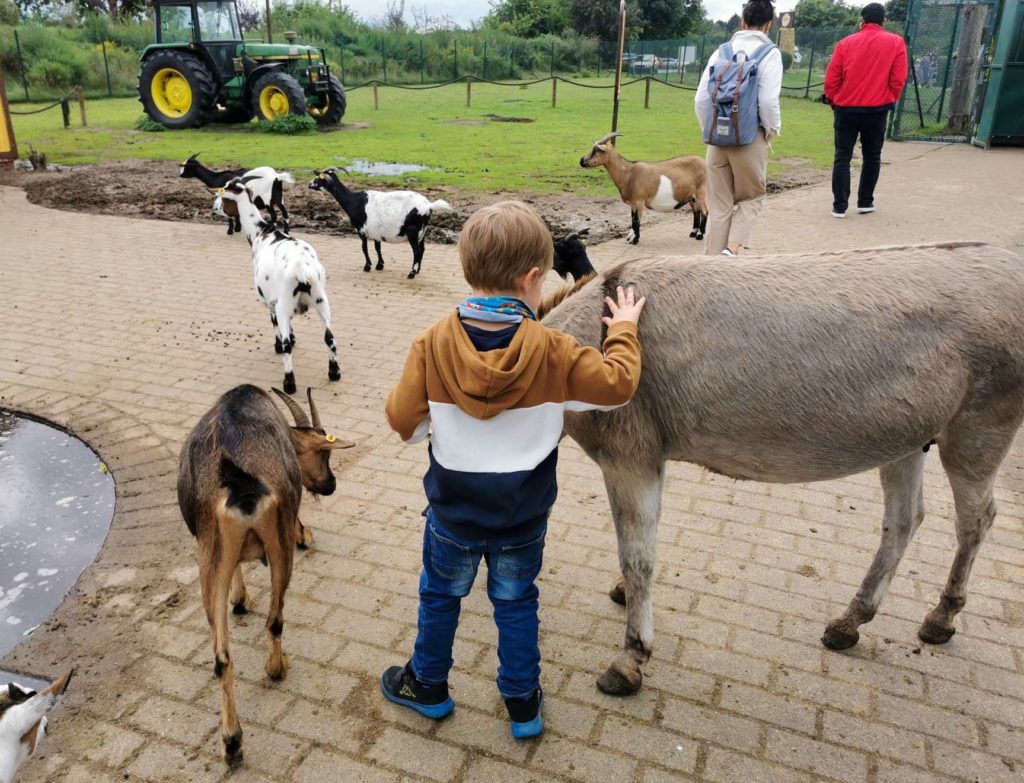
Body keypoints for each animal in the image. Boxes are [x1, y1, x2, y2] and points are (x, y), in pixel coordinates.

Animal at [182, 384, 358, 765]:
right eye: (324, 456)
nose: (331, 484)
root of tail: (239, 478)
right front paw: (305, 534)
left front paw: (239, 600)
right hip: (278, 545)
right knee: (275, 618)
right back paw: (276, 668)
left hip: (211, 555)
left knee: (222, 656)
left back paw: (232, 741)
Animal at [218, 180, 342, 393]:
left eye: (224, 193)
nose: (215, 206)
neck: (262, 232)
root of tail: (302, 271)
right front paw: (293, 335)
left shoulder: (271, 301)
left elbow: (275, 325)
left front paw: (278, 345)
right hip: (321, 301)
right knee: (330, 338)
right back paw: (334, 373)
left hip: (285, 303)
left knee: (287, 346)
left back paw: (289, 383)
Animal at [307, 167, 452, 280]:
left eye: (318, 178)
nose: (309, 184)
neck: (353, 200)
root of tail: (428, 205)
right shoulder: (376, 231)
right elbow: (378, 247)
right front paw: (380, 265)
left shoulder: (361, 229)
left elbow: (364, 248)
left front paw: (367, 266)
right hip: (423, 231)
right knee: (422, 250)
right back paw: (417, 271)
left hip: (413, 230)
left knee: (416, 251)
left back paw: (411, 273)